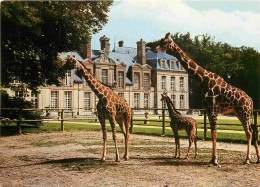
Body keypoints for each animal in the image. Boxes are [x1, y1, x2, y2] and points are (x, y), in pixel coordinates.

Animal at [153, 32, 258, 164]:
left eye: (165, 42)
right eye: (161, 40)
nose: (155, 48)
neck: (204, 79)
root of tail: (251, 101)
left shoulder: (213, 108)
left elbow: (214, 133)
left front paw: (215, 160)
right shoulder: (207, 109)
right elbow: (212, 132)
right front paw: (212, 158)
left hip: (244, 113)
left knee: (248, 132)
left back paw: (247, 159)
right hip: (241, 113)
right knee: (251, 131)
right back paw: (255, 158)